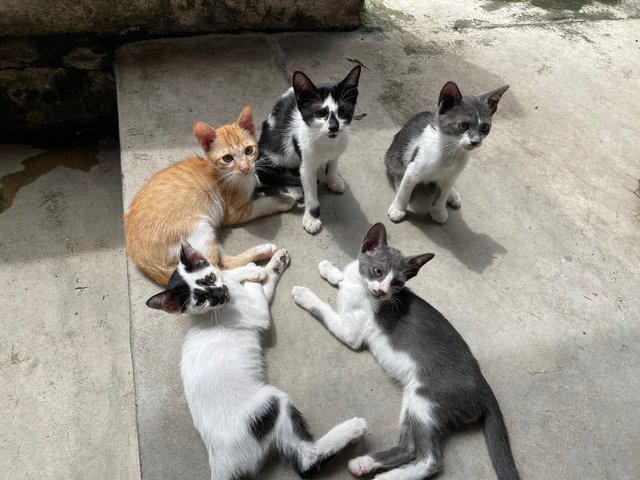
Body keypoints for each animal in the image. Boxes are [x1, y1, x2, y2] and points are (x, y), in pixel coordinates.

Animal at [124, 105, 296, 284]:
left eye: (249, 150)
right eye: (227, 158)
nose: (245, 168)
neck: (227, 175)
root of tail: (142, 259)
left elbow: (257, 178)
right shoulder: (234, 212)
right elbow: (261, 204)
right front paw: (283, 199)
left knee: (223, 262)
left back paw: (263, 250)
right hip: (199, 229)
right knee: (218, 271)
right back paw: (253, 271)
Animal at [148, 239, 368, 480]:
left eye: (211, 279)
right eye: (201, 301)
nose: (220, 294)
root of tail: (220, 462)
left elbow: (264, 285)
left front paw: (274, 262)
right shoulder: (258, 314)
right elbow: (255, 288)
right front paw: (254, 270)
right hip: (272, 403)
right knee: (307, 460)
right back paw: (354, 429)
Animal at [256, 65, 364, 234]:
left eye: (342, 112)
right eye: (319, 113)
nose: (334, 127)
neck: (326, 142)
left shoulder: (337, 148)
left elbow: (333, 164)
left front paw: (333, 180)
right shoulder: (305, 160)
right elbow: (310, 191)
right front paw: (312, 218)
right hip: (277, 146)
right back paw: (294, 188)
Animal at [294, 225, 520, 480]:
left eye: (398, 283)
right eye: (377, 271)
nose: (382, 292)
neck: (361, 289)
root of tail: (484, 388)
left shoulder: (351, 332)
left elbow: (325, 310)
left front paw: (304, 294)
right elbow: (344, 275)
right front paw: (329, 269)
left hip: (425, 402)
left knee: (430, 459)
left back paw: (385, 476)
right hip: (412, 403)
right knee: (410, 448)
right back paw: (365, 463)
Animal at [384, 81, 510, 224]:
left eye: (484, 128)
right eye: (463, 126)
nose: (475, 141)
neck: (451, 150)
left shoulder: (452, 174)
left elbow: (442, 193)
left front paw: (438, 211)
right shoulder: (414, 167)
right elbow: (405, 190)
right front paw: (398, 209)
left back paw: (452, 194)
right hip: (394, 155)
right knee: (396, 170)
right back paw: (399, 183)